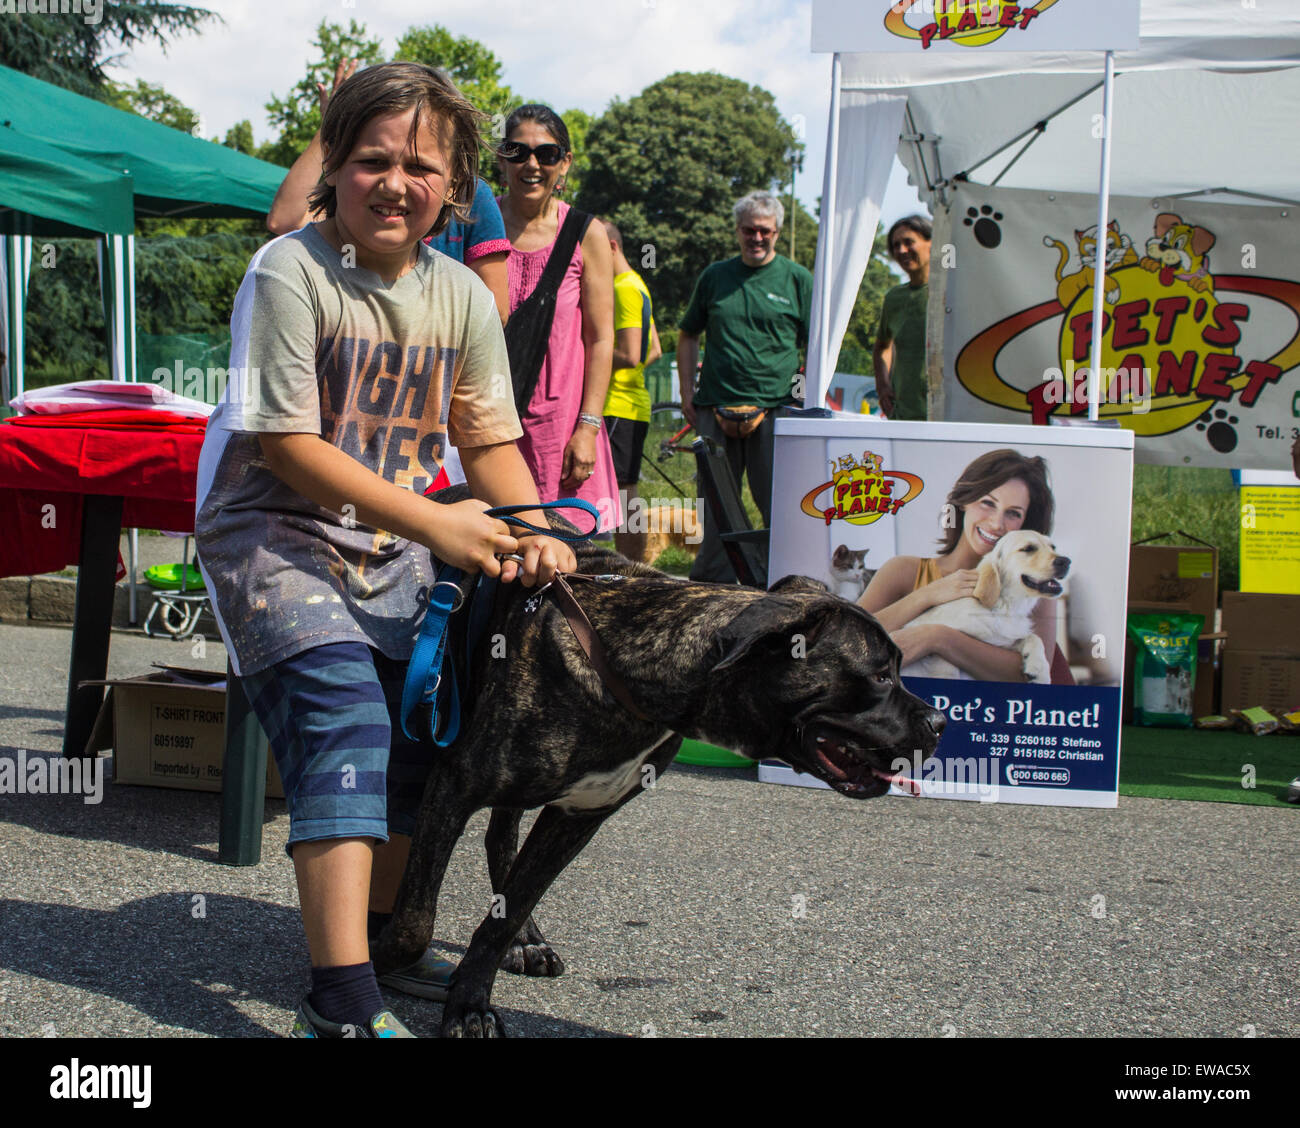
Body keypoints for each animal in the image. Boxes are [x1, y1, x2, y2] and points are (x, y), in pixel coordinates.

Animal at [374, 538, 946, 1039]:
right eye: (879, 675)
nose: (940, 721)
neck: (624, 667)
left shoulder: (579, 817)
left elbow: (506, 912)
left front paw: (471, 1002)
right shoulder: (452, 786)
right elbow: (414, 921)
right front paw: (386, 958)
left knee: (502, 842)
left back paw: (527, 940)